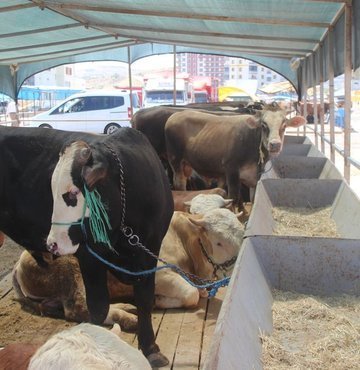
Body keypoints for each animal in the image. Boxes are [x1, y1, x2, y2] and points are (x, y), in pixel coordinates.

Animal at [0, 126, 174, 368]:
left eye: (73, 192)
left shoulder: (149, 253)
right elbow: (98, 307)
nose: (52, 243)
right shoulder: (89, 258)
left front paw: (151, 349)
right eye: (51, 191)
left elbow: (145, 299)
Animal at [165, 104, 306, 210]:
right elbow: (234, 197)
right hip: (175, 160)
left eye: (284, 125)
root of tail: (175, 115)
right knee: (179, 182)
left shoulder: (255, 177)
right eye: (263, 125)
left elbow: (253, 199)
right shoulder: (231, 171)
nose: (275, 144)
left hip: (186, 165)